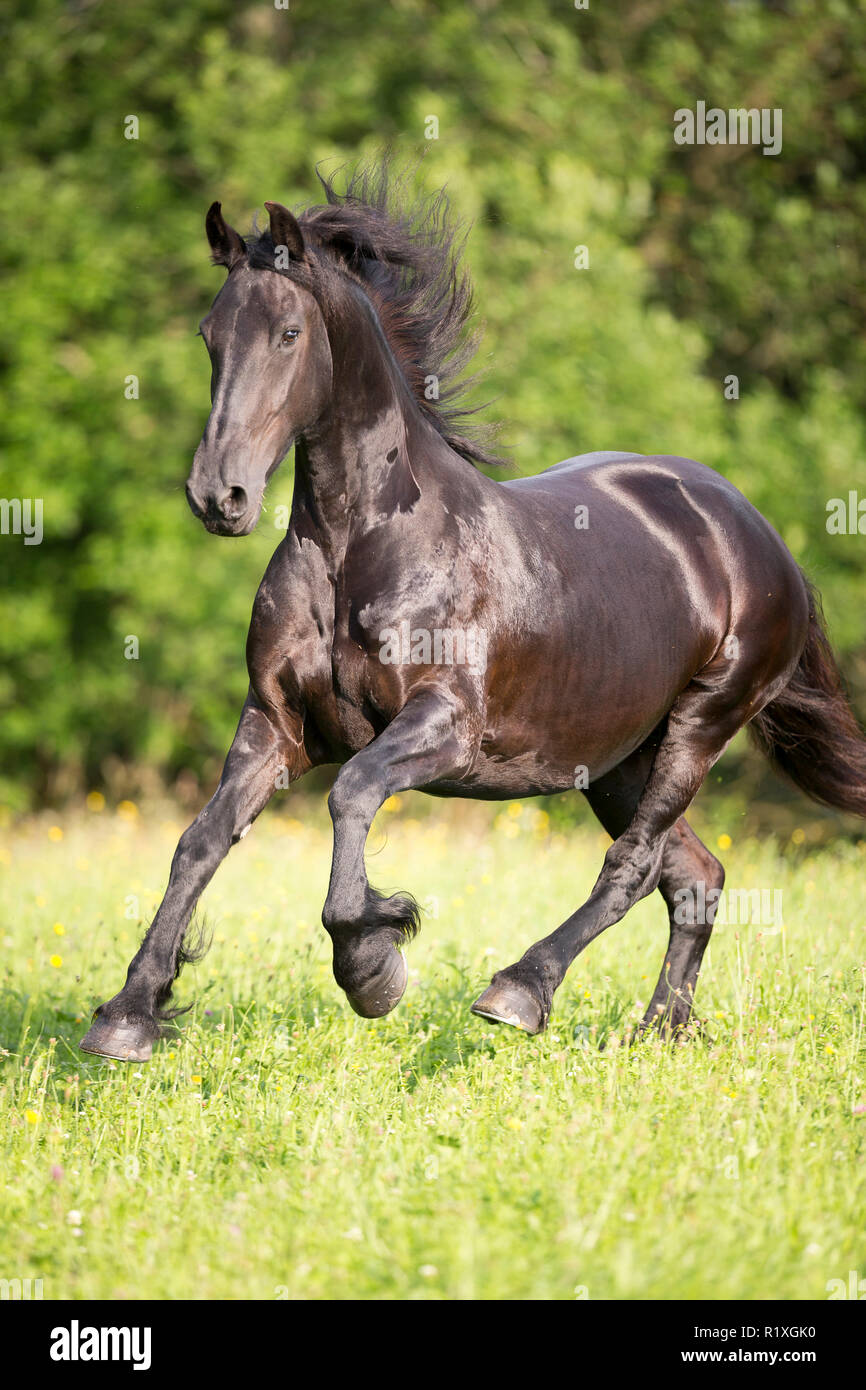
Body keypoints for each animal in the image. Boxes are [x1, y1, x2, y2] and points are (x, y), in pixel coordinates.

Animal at [80, 164, 866, 1062]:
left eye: (287, 331)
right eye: (210, 334)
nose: (220, 497)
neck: (363, 544)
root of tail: (759, 534)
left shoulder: (443, 726)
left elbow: (351, 793)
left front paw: (375, 964)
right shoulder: (275, 724)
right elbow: (200, 841)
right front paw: (128, 1014)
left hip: (701, 724)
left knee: (634, 866)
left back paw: (519, 992)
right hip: (616, 758)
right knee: (693, 876)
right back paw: (659, 1032)